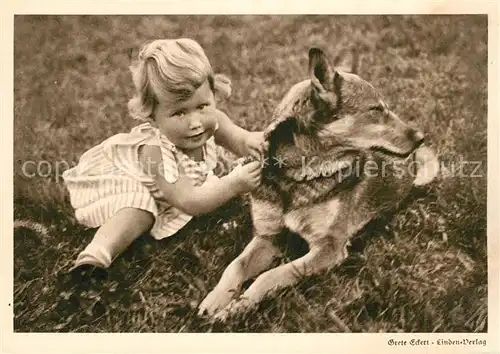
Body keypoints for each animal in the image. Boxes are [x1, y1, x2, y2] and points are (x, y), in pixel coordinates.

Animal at [197, 47, 440, 324]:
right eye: (376, 109)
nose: (421, 137)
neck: (296, 176)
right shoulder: (268, 237)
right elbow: (235, 266)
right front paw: (216, 300)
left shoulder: (329, 248)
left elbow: (270, 275)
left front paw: (238, 307)